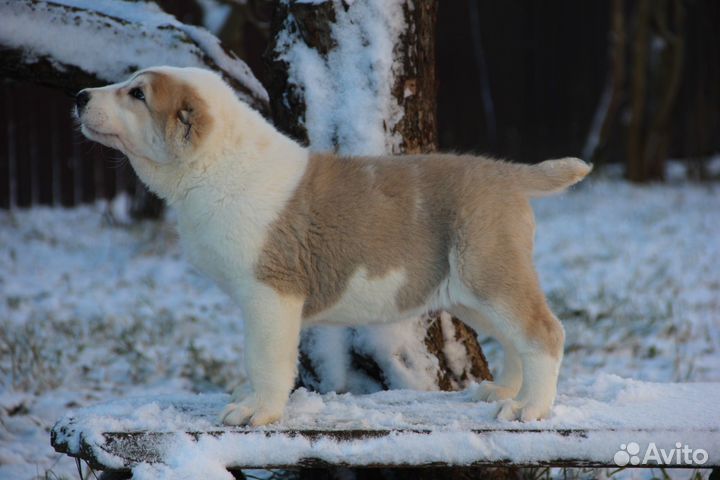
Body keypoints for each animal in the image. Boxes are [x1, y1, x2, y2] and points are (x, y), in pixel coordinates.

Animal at [76, 65, 592, 426]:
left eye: (138, 94)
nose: (80, 97)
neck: (215, 165)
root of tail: (506, 172)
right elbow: (254, 358)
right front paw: (249, 397)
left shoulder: (270, 294)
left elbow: (264, 357)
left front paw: (258, 411)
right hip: (470, 291)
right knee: (514, 339)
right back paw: (505, 392)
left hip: (490, 274)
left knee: (544, 333)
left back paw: (530, 409)